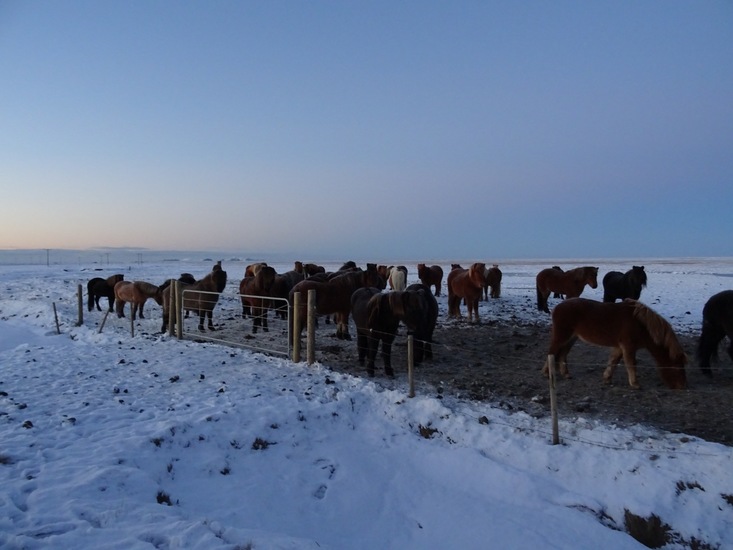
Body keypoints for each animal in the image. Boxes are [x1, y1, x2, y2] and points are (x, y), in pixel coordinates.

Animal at [542, 298, 687, 390]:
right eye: (677, 367)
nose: (682, 386)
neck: (641, 324)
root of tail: (557, 307)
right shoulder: (628, 347)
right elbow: (631, 364)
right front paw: (635, 384)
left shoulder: (619, 347)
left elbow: (613, 361)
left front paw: (607, 378)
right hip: (562, 336)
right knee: (552, 352)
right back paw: (547, 374)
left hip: (572, 338)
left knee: (563, 353)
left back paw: (566, 374)